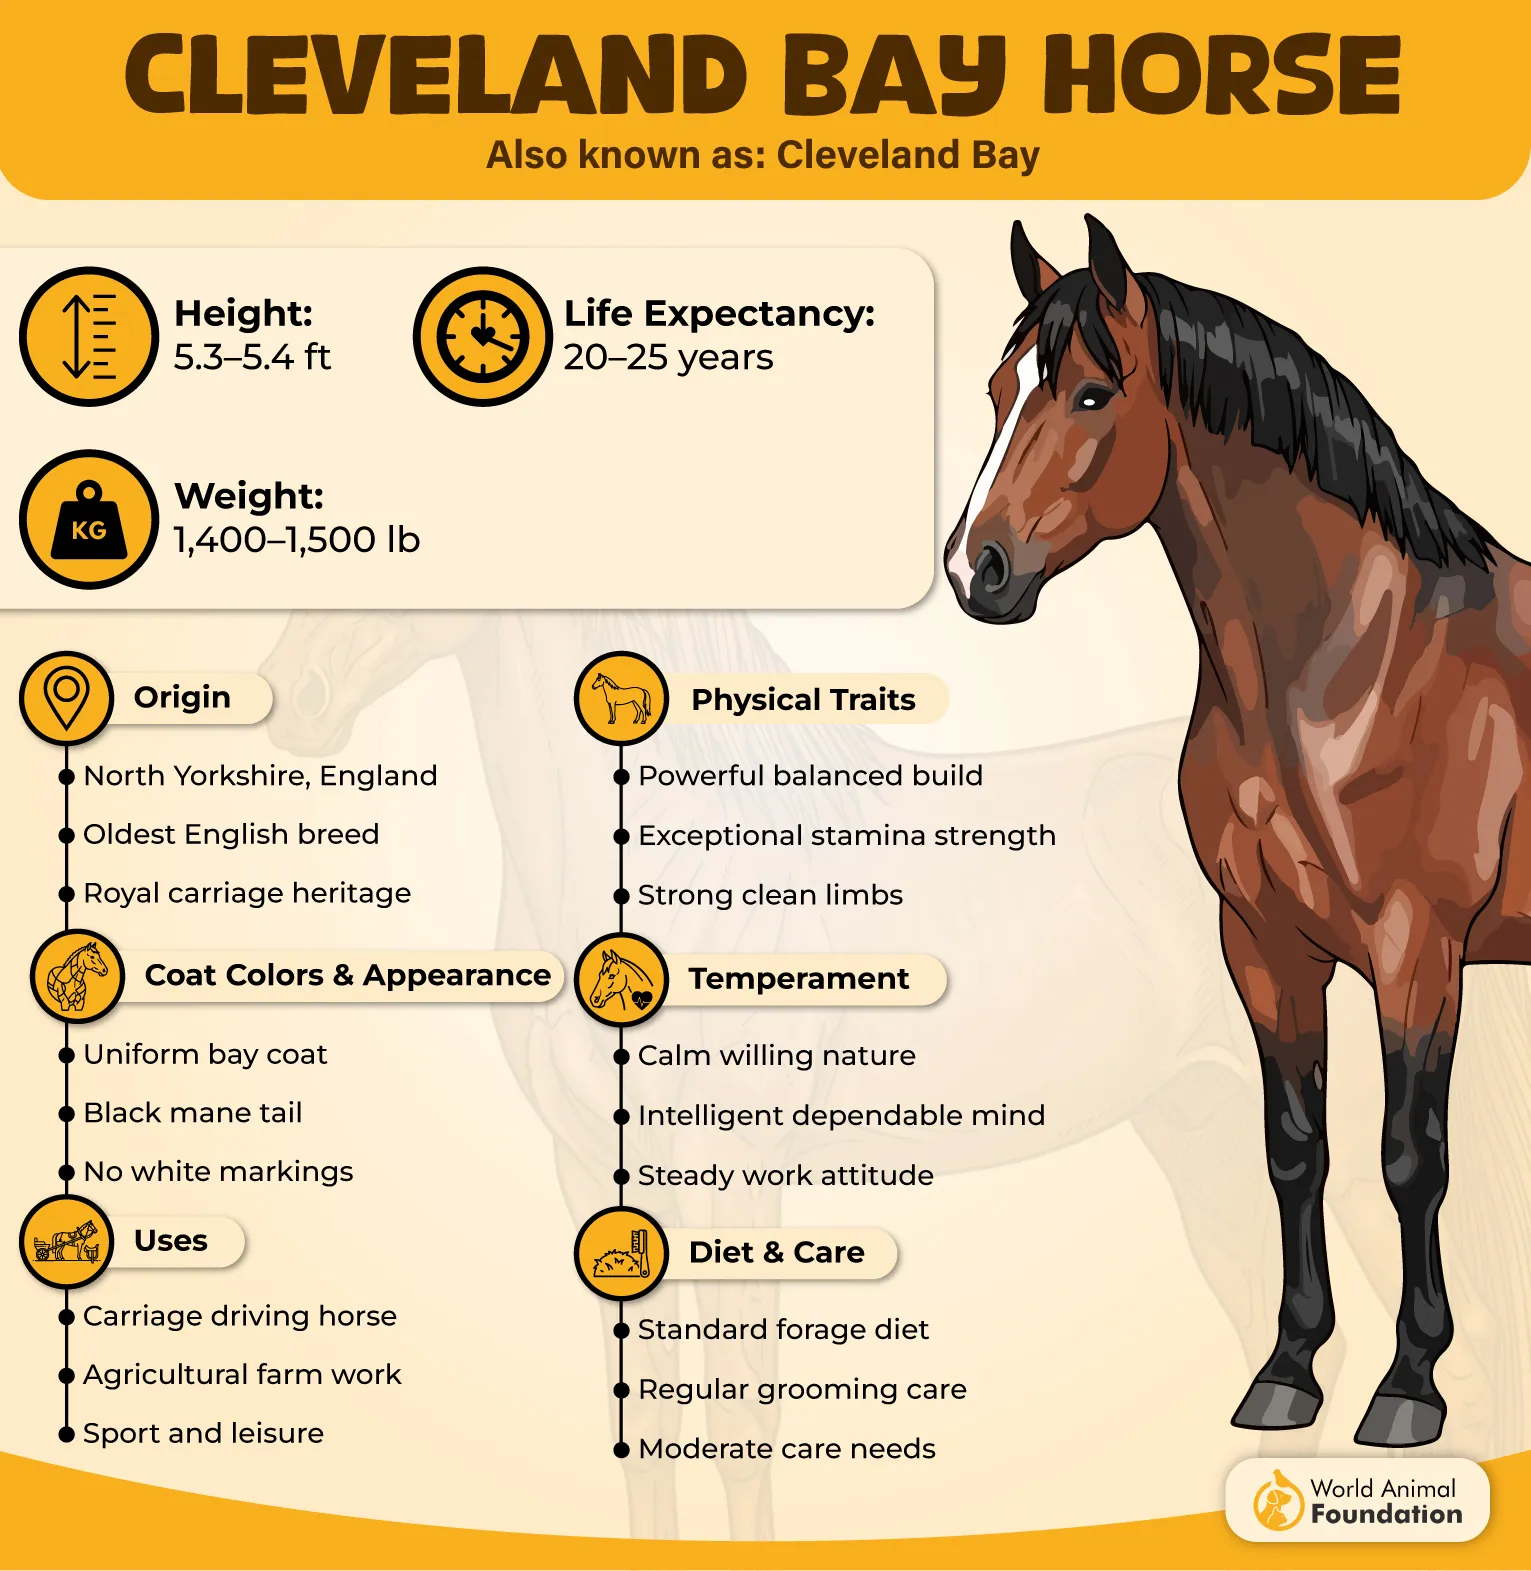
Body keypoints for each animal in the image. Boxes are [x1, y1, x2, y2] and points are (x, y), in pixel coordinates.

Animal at [946, 213, 1531, 1449]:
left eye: (1089, 393)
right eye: (998, 389)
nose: (977, 570)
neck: (1350, 664)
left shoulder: (1417, 952)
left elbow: (1408, 1157)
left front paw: (1409, 1386)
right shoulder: (1262, 944)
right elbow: (1293, 1149)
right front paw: (1288, 1369)